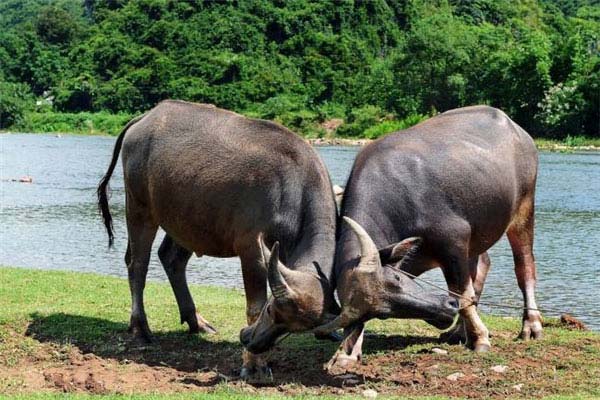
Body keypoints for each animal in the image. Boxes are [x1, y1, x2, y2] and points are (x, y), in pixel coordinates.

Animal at [98, 99, 342, 378]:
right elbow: (252, 307)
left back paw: (196, 321)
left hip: (187, 220)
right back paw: (141, 328)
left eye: (291, 329)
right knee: (137, 263)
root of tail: (146, 118)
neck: (293, 191)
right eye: (271, 310)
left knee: (170, 258)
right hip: (139, 208)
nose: (251, 342)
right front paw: (253, 366)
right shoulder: (251, 250)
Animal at [318, 106, 544, 368]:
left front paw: (480, 339)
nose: (444, 314)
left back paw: (531, 325)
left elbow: (462, 293)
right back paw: (458, 332)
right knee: (482, 265)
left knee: (524, 267)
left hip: (524, 209)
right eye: (383, 314)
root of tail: (518, 131)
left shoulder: (454, 241)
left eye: (397, 279)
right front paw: (345, 353)